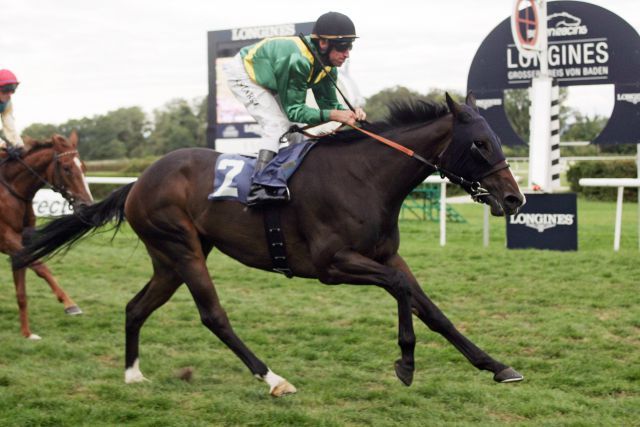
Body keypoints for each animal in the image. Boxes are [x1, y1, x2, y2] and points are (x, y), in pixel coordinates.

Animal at [0, 132, 94, 340]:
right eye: (66, 168)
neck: (12, 191)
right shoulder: (6, 239)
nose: (88, 206)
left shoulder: (20, 243)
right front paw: (69, 303)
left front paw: (27, 334)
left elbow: (21, 293)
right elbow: (40, 266)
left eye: (83, 167)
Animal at [15, 95, 524, 396]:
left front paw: (497, 365)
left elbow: (433, 310)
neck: (365, 177)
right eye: (480, 144)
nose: (514, 198)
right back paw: (273, 378)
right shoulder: (332, 264)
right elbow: (400, 290)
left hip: (169, 259)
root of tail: (139, 181)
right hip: (182, 249)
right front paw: (406, 362)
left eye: (495, 140)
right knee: (213, 316)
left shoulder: (384, 255)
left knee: (136, 306)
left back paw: (132, 373)